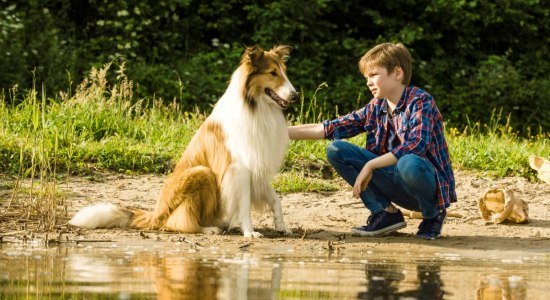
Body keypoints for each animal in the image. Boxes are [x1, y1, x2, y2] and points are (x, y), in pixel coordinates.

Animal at [71, 45, 302, 237]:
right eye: (272, 73)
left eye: (284, 72)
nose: (295, 96)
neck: (256, 107)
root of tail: (157, 213)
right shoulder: (240, 167)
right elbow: (244, 205)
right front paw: (250, 232)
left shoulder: (258, 165)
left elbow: (276, 200)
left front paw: (282, 226)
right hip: (201, 173)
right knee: (178, 223)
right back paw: (208, 229)